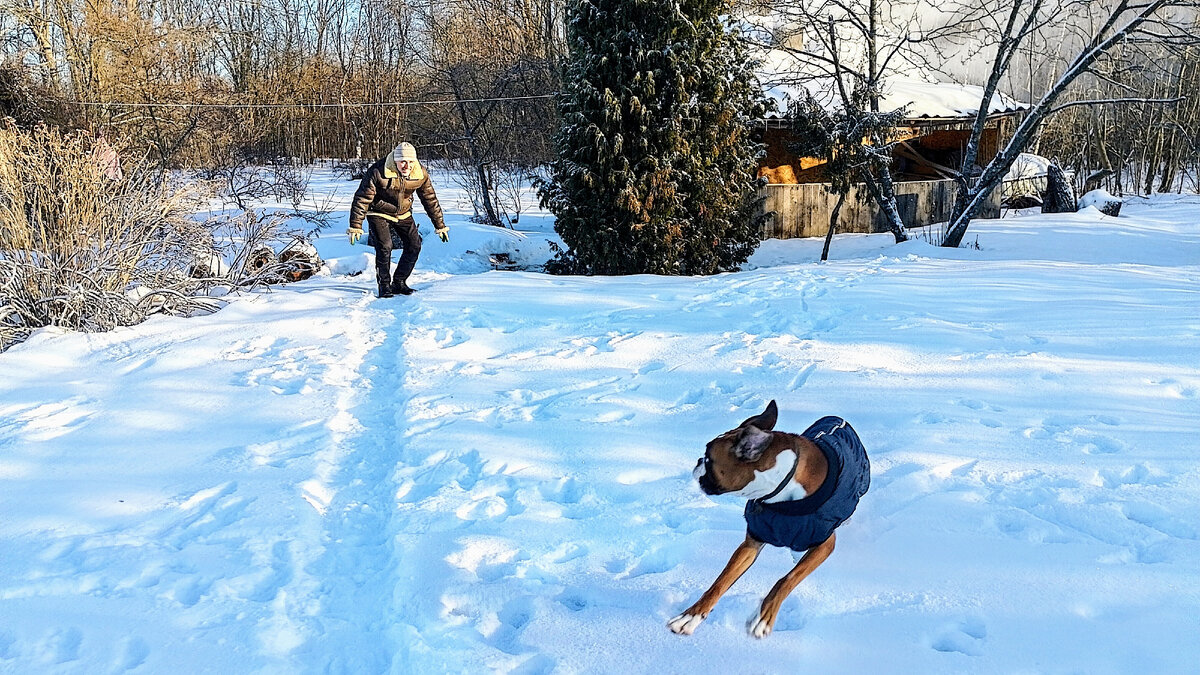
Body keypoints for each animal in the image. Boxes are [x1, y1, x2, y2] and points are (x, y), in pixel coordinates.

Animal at [667, 398, 873, 634]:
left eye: (709, 458)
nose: (698, 461)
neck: (780, 495)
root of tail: (837, 418)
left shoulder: (825, 543)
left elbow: (787, 579)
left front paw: (763, 617)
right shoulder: (752, 542)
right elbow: (720, 581)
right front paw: (691, 616)